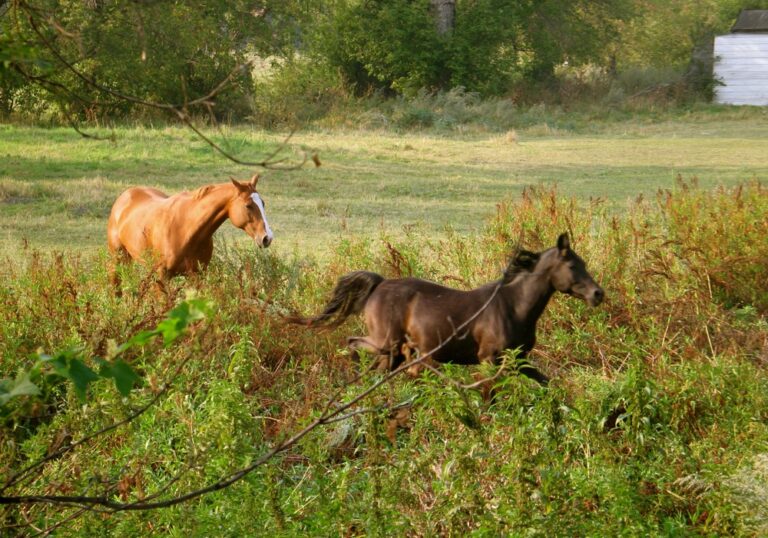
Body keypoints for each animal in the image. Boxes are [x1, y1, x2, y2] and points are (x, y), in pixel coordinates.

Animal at [107, 173, 273, 282]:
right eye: (248, 205)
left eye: (263, 203)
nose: (267, 237)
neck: (186, 229)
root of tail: (126, 195)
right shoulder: (163, 276)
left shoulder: (196, 276)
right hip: (118, 259)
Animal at [290, 233, 603, 386]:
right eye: (572, 266)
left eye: (585, 263)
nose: (598, 294)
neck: (515, 307)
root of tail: (379, 284)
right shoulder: (489, 359)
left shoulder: (520, 360)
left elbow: (548, 385)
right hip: (385, 341)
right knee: (352, 342)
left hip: (395, 352)